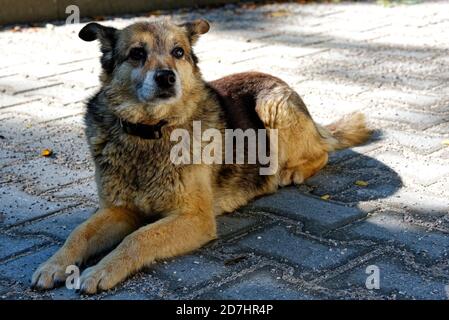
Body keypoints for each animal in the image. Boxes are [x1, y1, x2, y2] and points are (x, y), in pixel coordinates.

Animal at [29, 17, 370, 294]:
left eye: (178, 52)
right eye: (137, 53)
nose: (166, 77)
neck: (150, 131)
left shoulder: (195, 217)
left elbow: (138, 238)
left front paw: (102, 270)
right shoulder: (117, 210)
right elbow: (78, 233)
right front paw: (54, 264)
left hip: (273, 106)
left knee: (322, 151)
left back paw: (291, 171)